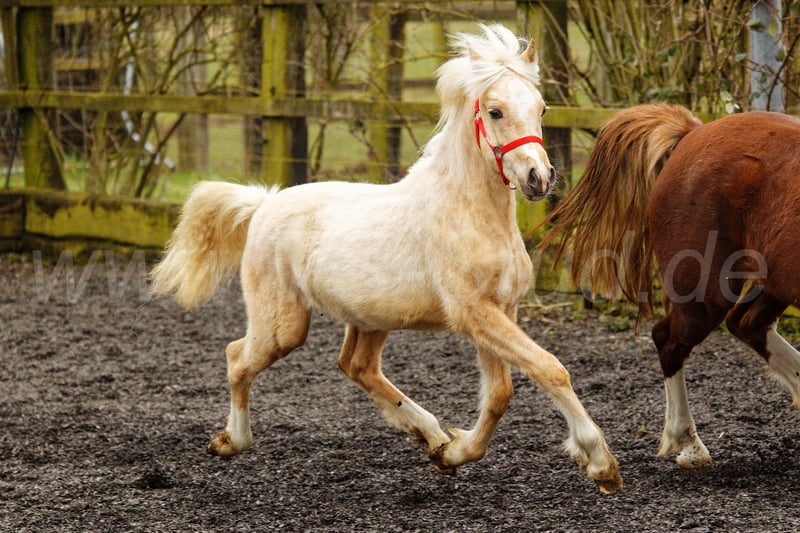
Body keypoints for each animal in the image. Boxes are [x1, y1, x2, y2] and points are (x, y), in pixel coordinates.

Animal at [149, 24, 622, 494]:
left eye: (541, 108)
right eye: (495, 111)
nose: (538, 178)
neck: (470, 212)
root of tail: (264, 204)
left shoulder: (500, 310)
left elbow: (500, 395)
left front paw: (454, 452)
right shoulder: (474, 313)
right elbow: (549, 369)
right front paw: (600, 463)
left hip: (370, 318)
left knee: (356, 366)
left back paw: (431, 435)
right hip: (283, 325)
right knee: (237, 357)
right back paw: (231, 441)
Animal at [540, 103, 800, 469]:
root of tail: (693, 132)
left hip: (772, 280)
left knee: (747, 323)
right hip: (705, 288)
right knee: (670, 340)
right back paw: (688, 444)